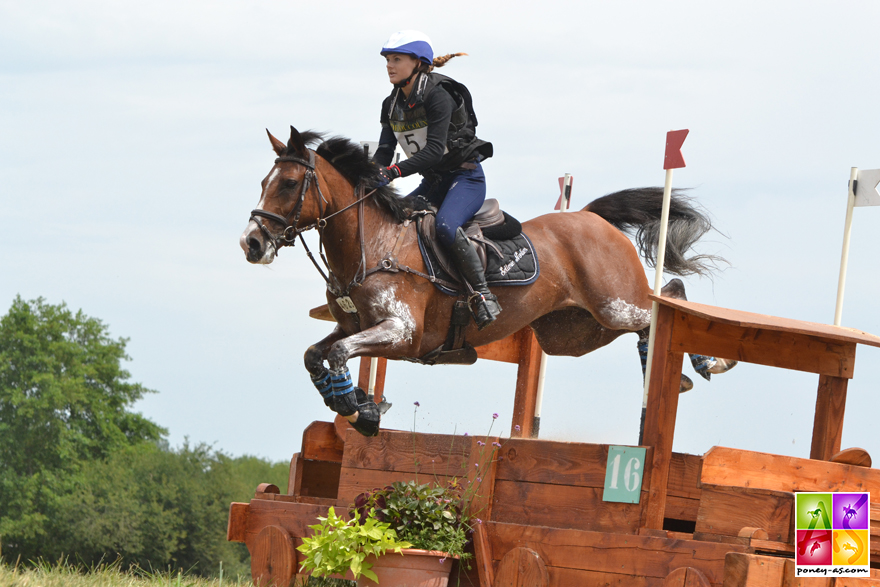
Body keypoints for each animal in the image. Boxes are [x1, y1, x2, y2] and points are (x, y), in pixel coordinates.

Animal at [241, 125, 736, 436]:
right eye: (264, 181)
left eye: (288, 184)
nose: (251, 243)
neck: (372, 243)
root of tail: (591, 217)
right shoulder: (353, 325)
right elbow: (316, 354)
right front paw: (354, 403)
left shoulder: (403, 333)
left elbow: (341, 353)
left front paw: (358, 410)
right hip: (574, 332)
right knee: (648, 316)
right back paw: (675, 371)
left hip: (614, 303)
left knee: (664, 300)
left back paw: (707, 363)